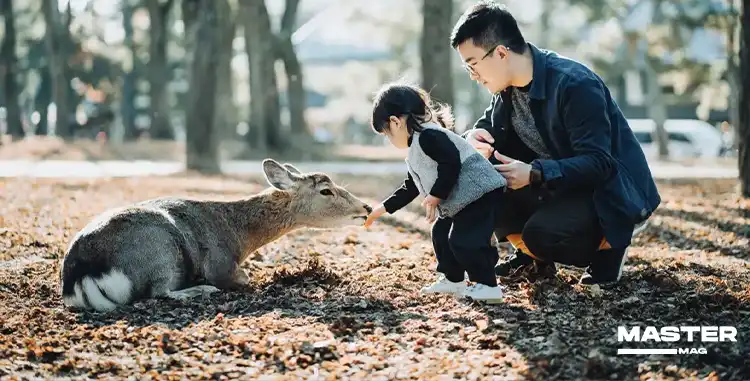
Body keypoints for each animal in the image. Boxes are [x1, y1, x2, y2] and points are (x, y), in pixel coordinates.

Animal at [60, 159, 374, 310]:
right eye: (326, 190)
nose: (367, 207)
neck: (239, 237)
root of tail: (80, 276)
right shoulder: (222, 266)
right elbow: (244, 279)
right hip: (159, 253)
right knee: (157, 293)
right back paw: (201, 290)